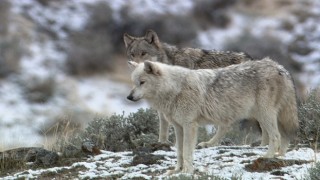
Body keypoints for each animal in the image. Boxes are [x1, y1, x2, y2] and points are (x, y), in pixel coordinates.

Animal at [123, 29, 255, 145]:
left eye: (144, 53)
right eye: (132, 55)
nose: (135, 66)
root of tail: (251, 58)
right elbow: (163, 130)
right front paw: (162, 143)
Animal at [127, 57, 300, 174]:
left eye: (142, 82)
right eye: (134, 82)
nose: (129, 97)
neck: (175, 89)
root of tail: (279, 67)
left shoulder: (189, 125)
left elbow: (187, 151)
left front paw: (187, 171)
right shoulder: (178, 127)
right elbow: (179, 152)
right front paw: (177, 170)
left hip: (264, 115)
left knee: (276, 136)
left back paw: (267, 157)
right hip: (265, 116)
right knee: (284, 137)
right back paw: (278, 156)